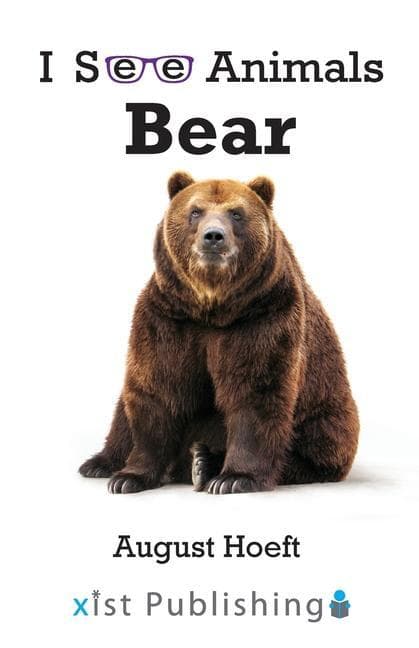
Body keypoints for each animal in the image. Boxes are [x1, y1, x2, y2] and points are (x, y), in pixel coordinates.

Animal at [79, 171, 359, 495]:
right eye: (195, 211)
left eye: (236, 213)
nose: (213, 236)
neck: (212, 306)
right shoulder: (168, 318)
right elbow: (157, 388)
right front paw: (129, 477)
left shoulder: (262, 317)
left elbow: (255, 392)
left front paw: (234, 477)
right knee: (123, 412)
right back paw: (100, 463)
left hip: (327, 413)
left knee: (315, 445)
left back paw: (204, 462)